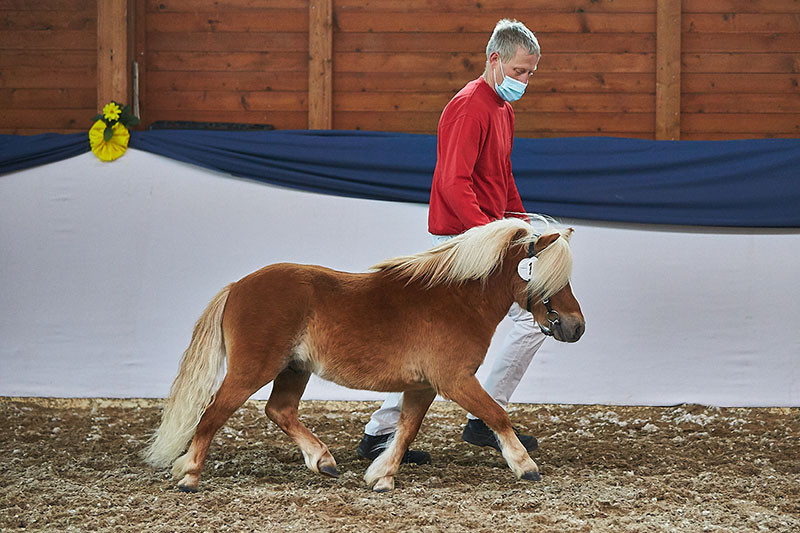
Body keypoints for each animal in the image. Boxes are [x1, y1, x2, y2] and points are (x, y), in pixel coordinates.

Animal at [144, 215, 584, 490]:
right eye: (551, 277)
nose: (576, 326)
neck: (456, 299)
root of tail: (238, 286)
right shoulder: (455, 380)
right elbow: (496, 413)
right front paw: (525, 466)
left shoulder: (422, 387)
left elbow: (406, 430)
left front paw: (382, 476)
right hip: (253, 369)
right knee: (212, 413)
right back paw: (189, 475)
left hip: (294, 369)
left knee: (279, 410)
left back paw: (323, 460)